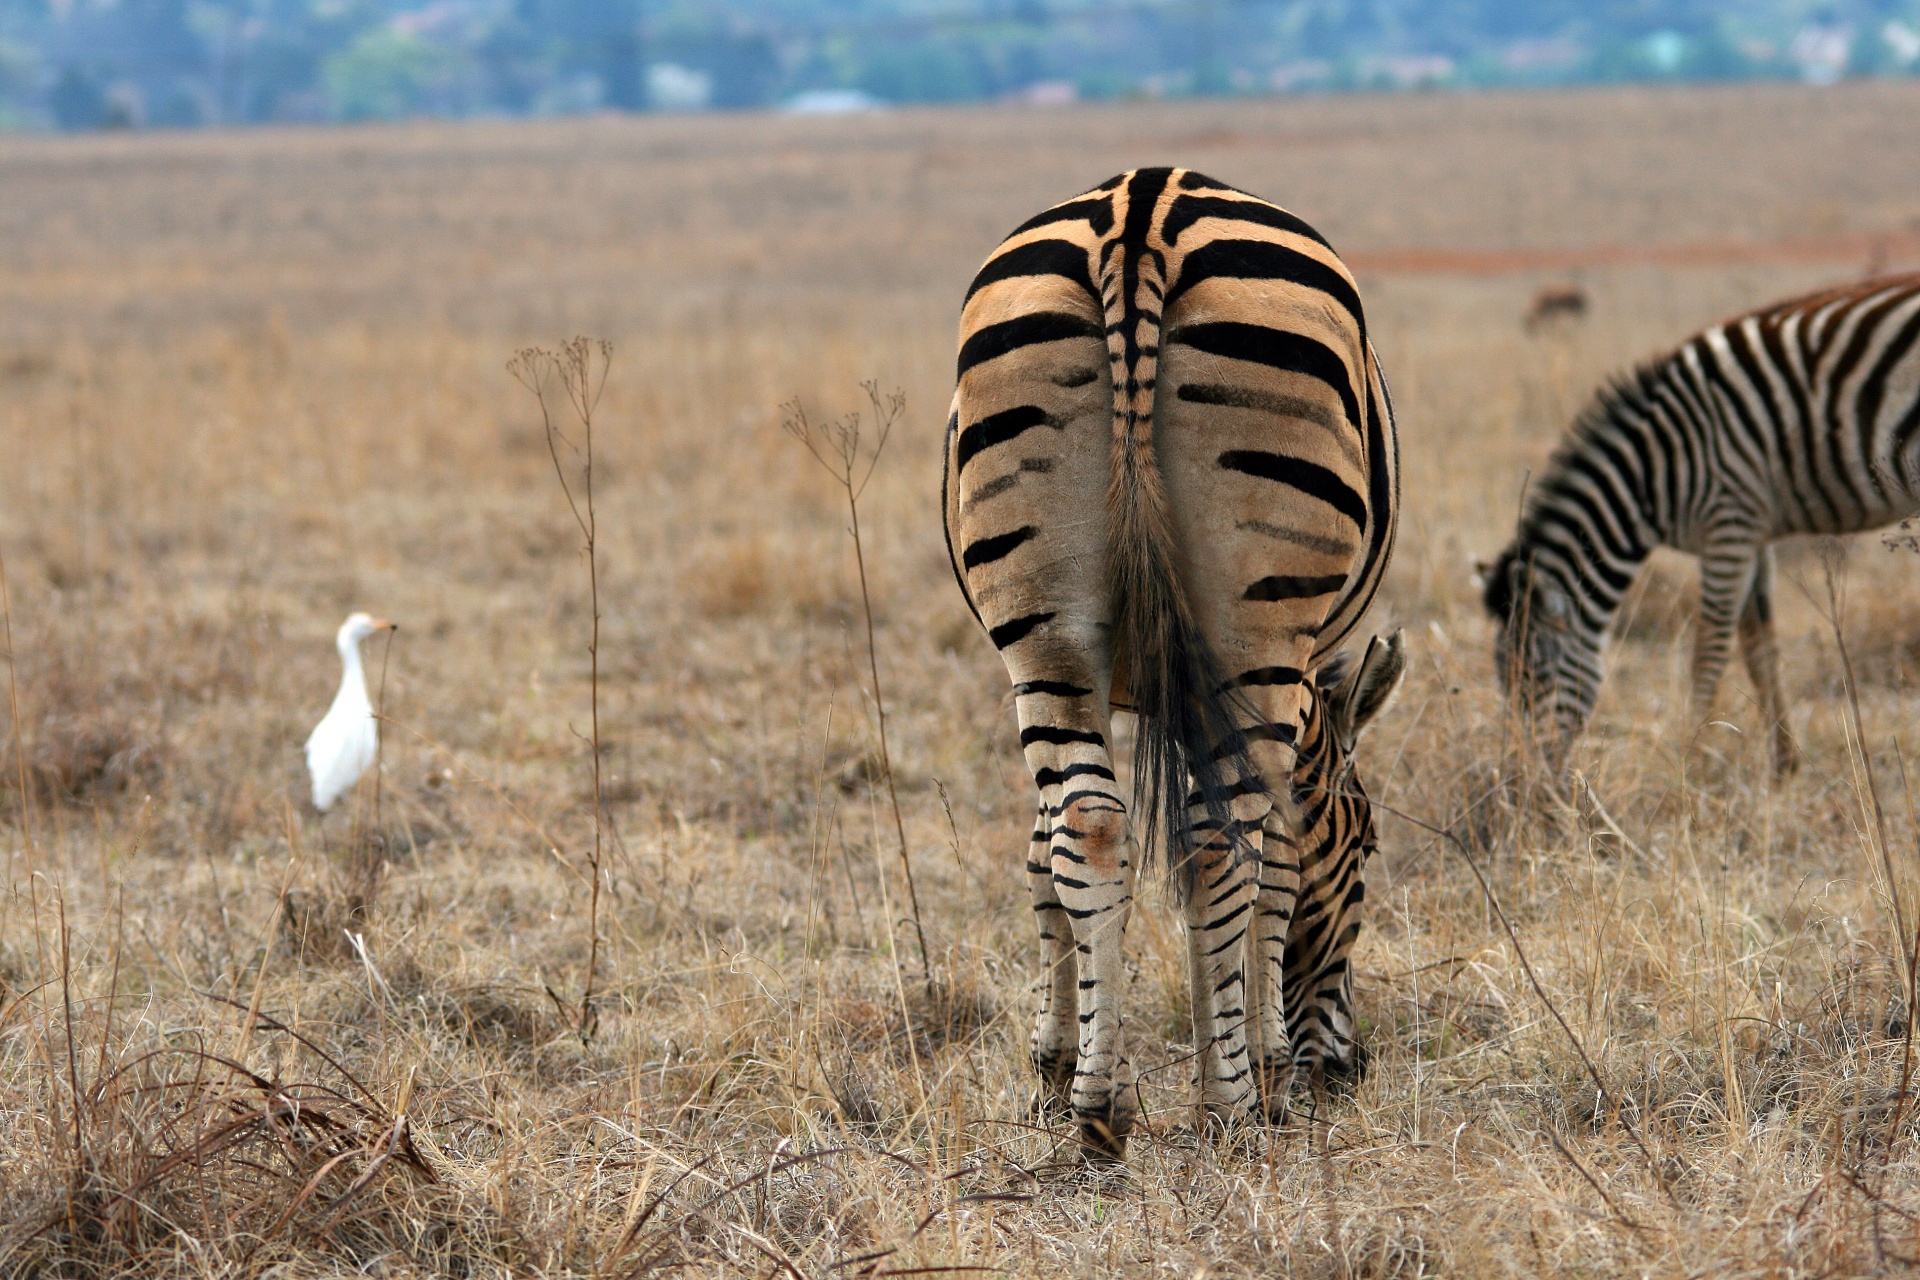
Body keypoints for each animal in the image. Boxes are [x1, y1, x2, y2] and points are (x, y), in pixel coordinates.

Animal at [940, 167, 1397, 1159]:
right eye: (1369, 843)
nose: (1349, 1074)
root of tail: (1140, 207)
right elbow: (1275, 867)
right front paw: (1262, 1064)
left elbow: (1041, 858)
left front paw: (1055, 1060)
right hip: (1250, 628)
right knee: (1220, 840)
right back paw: (1230, 1106)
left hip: (1043, 628)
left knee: (1091, 827)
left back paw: (1099, 1113)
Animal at [1482, 272, 1920, 775]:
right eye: (1506, 685)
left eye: (1534, 678)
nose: (1523, 776)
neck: (1654, 471)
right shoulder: (1753, 532)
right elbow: (1759, 648)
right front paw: (1784, 764)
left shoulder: (1728, 526)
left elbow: (1709, 650)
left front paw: (1690, 760)